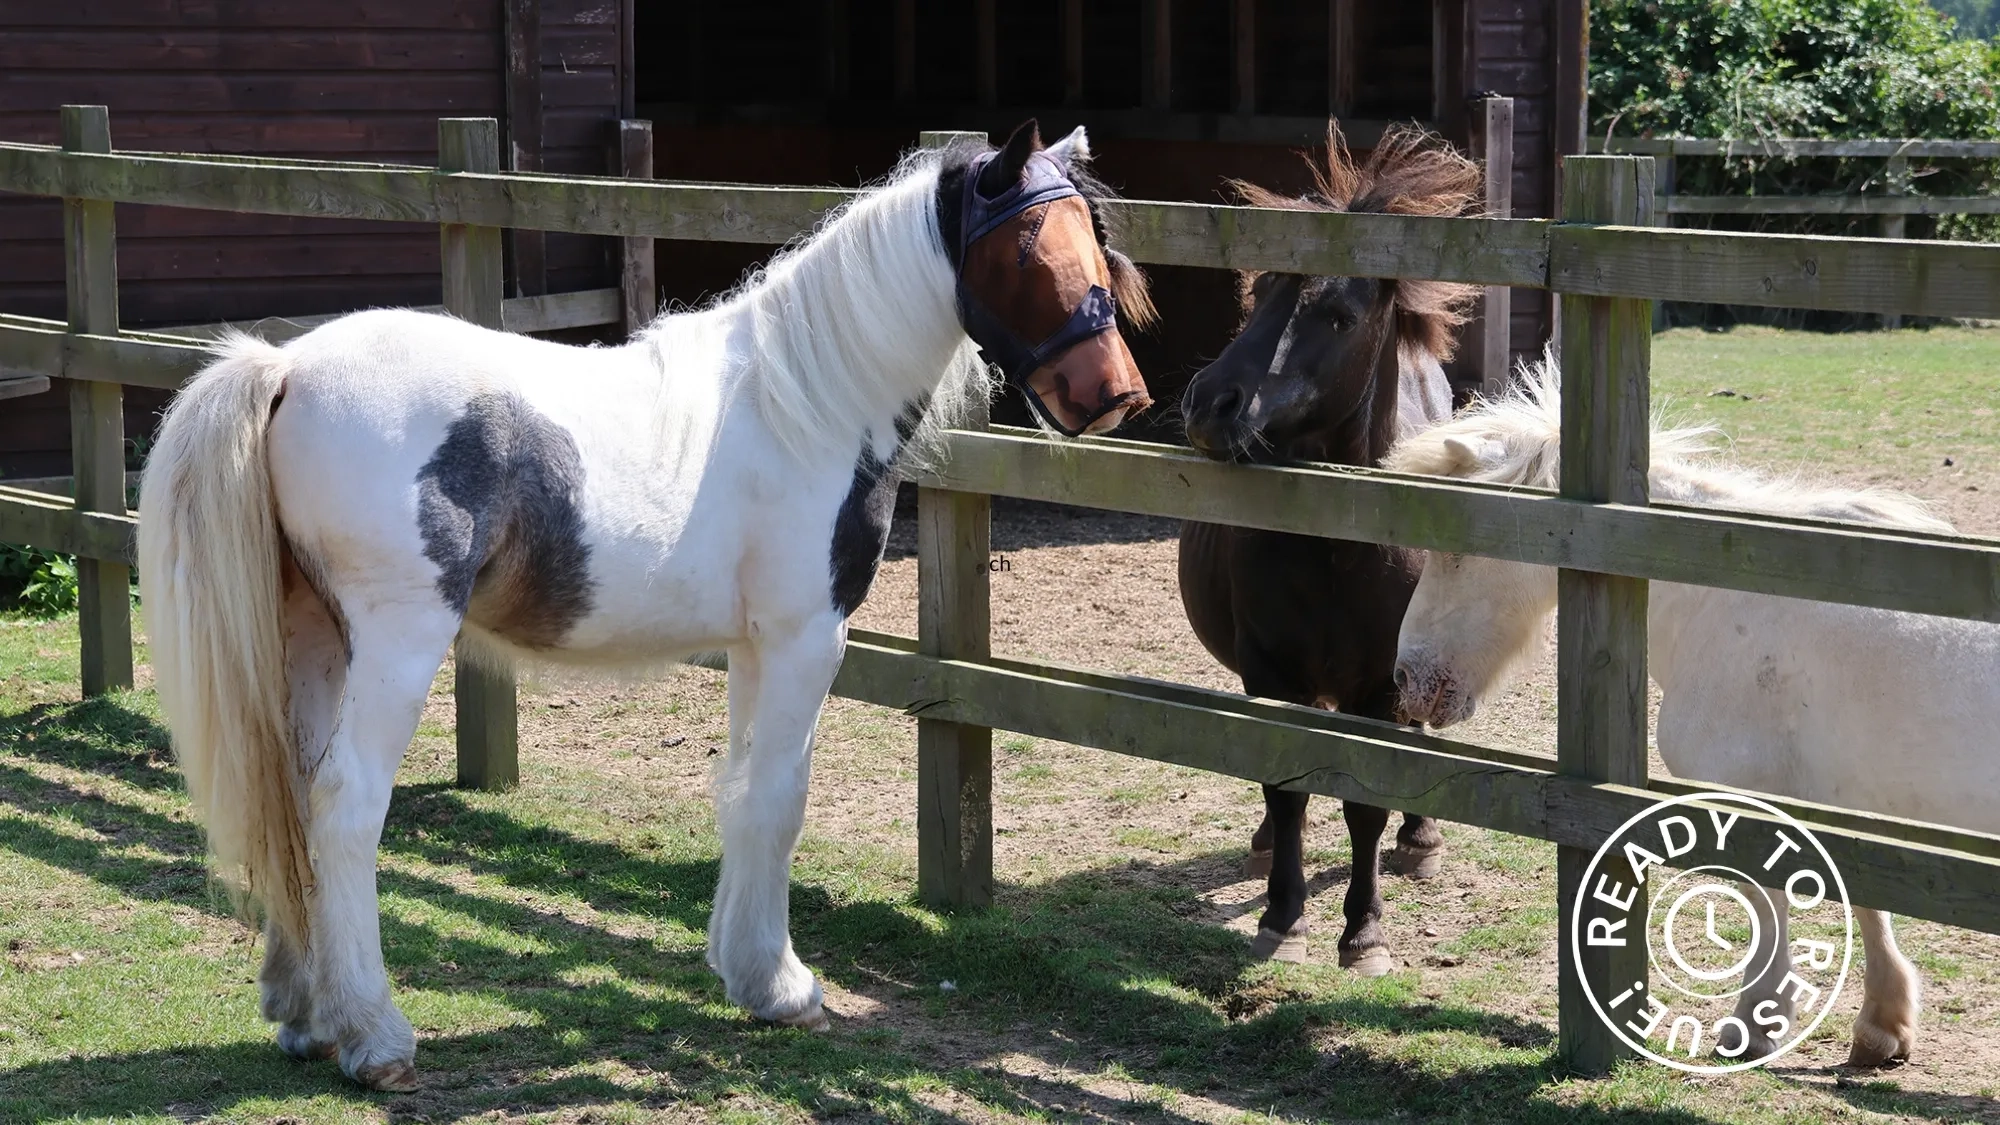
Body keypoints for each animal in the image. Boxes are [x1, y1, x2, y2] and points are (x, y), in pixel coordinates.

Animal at [135, 119, 1157, 1091]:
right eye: (1024, 246)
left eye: (1093, 238)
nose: (1114, 395)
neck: (802, 402)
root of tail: (284, 368)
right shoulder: (807, 638)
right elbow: (780, 796)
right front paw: (784, 986)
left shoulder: (754, 646)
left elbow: (740, 791)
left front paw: (747, 973)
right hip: (395, 644)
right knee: (346, 804)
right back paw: (374, 1036)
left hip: (313, 638)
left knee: (293, 793)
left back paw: (305, 1013)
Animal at [1174, 124, 1481, 970]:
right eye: (1258, 293)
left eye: (1338, 315)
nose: (1213, 403)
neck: (1337, 544)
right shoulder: (1270, 670)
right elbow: (1285, 786)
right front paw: (1283, 916)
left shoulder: (1378, 683)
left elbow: (1365, 803)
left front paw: (1364, 929)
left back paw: (1421, 839)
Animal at [1389, 352, 2000, 1067]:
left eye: (1453, 551)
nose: (1405, 680)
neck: (1717, 589)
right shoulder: (1844, 801)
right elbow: (1866, 896)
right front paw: (1883, 1023)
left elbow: (1770, 898)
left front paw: (1754, 1023)